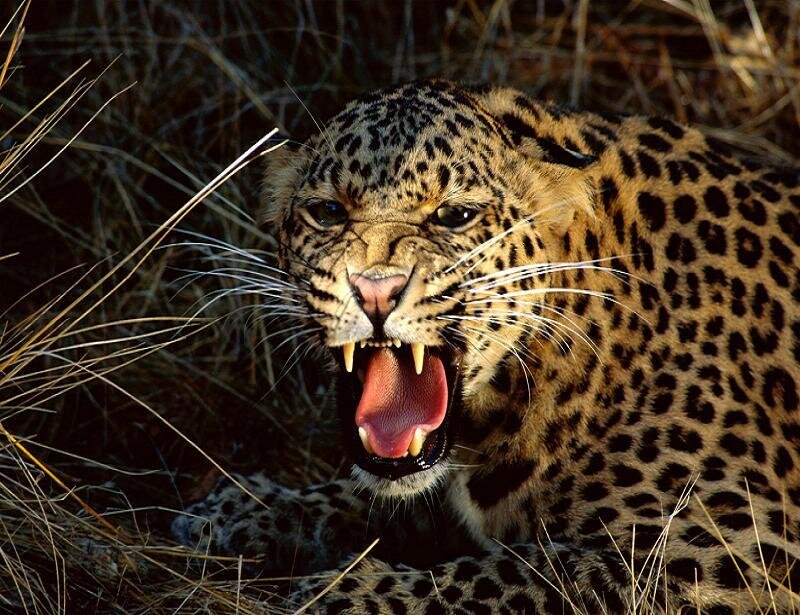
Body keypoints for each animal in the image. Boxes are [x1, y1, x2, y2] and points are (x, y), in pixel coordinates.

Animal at [173, 79, 800, 613]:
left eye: (455, 215)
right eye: (328, 212)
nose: (375, 289)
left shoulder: (736, 548)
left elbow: (530, 573)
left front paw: (342, 595)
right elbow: (378, 497)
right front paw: (247, 508)